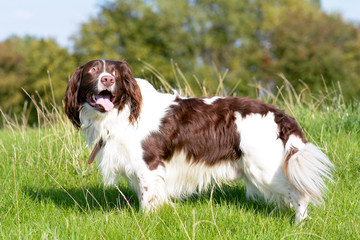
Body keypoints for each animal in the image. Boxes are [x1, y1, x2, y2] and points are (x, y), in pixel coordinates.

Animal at [62, 59, 332, 222]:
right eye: (93, 71)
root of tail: (279, 114)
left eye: (115, 73)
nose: (107, 79)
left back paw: (298, 225)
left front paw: (146, 221)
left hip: (263, 169)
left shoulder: (149, 166)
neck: (122, 112)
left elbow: (148, 199)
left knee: (300, 194)